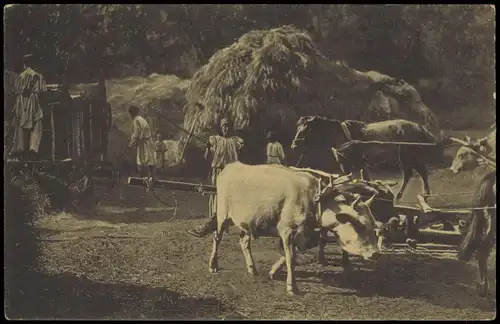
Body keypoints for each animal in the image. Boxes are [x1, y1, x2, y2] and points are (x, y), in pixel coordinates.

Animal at [290, 117, 446, 200]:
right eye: (297, 128)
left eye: (305, 130)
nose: (293, 146)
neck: (342, 136)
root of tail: (419, 127)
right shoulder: (349, 165)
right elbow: (359, 179)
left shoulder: (355, 163)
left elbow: (361, 179)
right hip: (407, 158)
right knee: (415, 173)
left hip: (408, 157)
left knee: (417, 173)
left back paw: (420, 194)